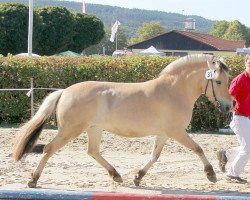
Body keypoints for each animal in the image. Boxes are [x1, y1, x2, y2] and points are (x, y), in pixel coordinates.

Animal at [13, 53, 232, 188]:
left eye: (228, 80)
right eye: (218, 81)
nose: (229, 106)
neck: (174, 91)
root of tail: (65, 91)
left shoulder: (163, 134)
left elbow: (154, 156)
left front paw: (137, 177)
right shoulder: (177, 132)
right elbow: (198, 148)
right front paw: (211, 174)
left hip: (94, 129)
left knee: (93, 151)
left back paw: (116, 175)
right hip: (70, 130)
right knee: (49, 149)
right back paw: (33, 180)